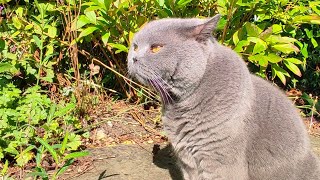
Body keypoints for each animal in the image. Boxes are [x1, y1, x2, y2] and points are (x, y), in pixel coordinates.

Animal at [127, 14, 320, 180]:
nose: (133, 58)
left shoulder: (219, 160)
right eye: (135, 46)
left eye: (156, 48)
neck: (182, 102)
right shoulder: (188, 161)